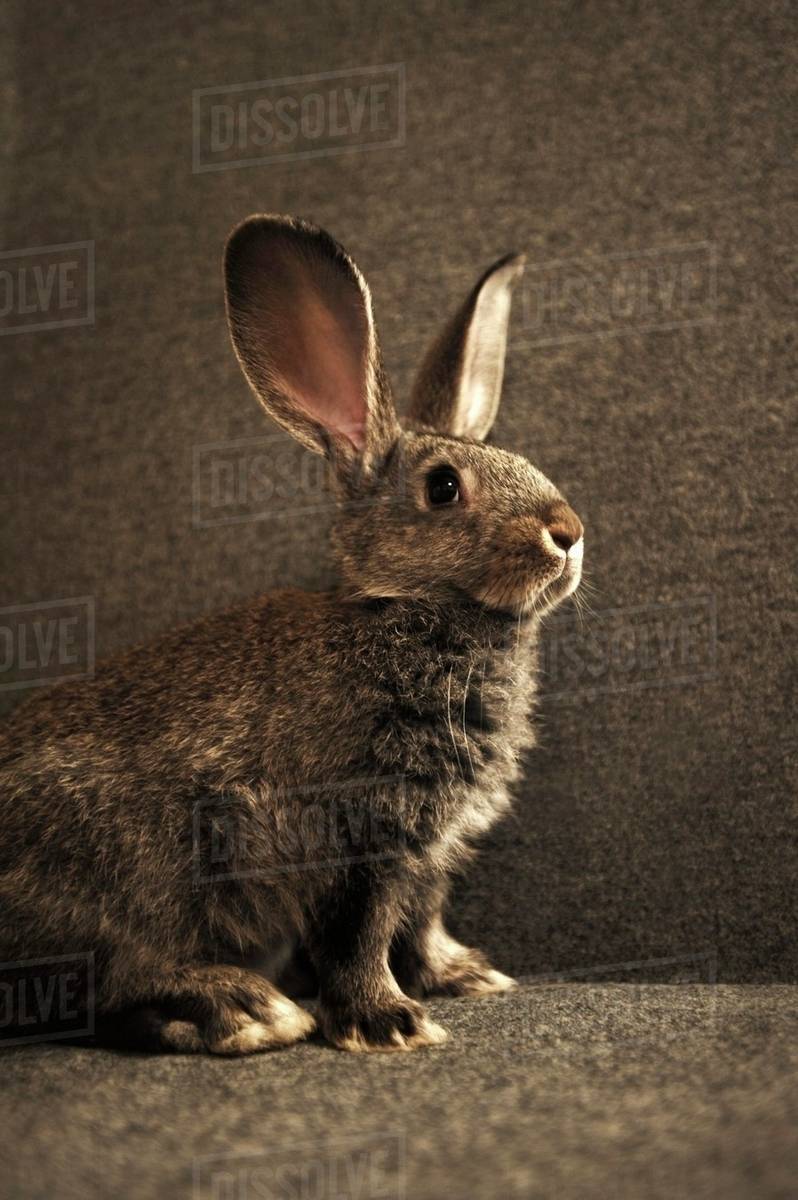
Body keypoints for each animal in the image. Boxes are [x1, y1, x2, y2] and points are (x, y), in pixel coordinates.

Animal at [0, 214, 584, 1055]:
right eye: (443, 487)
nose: (568, 531)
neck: (414, 613)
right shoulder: (352, 838)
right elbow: (360, 937)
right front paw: (389, 1022)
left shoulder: (430, 852)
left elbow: (422, 921)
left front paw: (467, 974)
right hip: (119, 868)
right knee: (108, 975)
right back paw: (242, 1008)